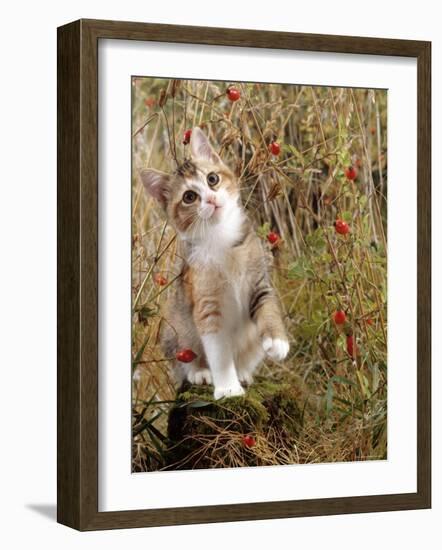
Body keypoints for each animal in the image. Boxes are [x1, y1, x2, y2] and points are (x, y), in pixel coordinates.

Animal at [140, 127, 288, 398]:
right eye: (189, 196)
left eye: (212, 179)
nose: (210, 199)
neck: (221, 239)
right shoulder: (207, 304)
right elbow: (219, 351)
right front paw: (228, 388)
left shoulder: (259, 282)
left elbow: (267, 307)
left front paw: (277, 340)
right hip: (175, 329)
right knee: (182, 359)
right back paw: (200, 372)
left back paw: (244, 372)